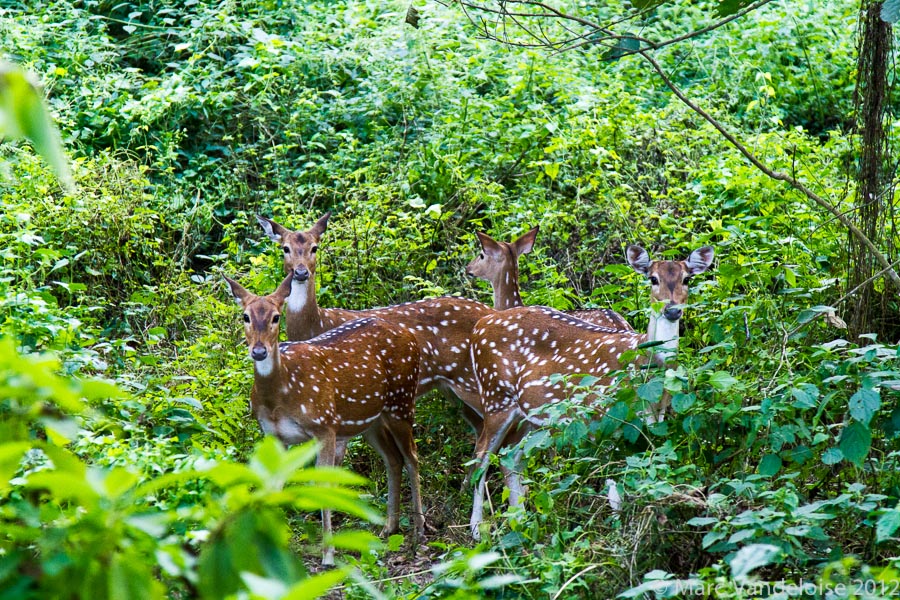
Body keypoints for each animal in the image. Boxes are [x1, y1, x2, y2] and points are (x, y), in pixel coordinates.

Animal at [223, 274, 424, 564]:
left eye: (276, 317)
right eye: (245, 316)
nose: (259, 351)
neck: (280, 395)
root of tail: (412, 337)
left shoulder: (325, 426)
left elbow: (322, 484)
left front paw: (328, 554)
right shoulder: (273, 434)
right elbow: (274, 486)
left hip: (403, 400)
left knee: (412, 457)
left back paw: (419, 529)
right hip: (371, 419)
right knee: (393, 459)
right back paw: (389, 527)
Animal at [256, 213, 496, 434]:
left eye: (315, 247)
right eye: (285, 248)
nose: (301, 272)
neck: (318, 323)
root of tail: (491, 311)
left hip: (471, 377)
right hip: (450, 386)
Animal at [468, 244, 712, 540]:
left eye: (687, 278)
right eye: (652, 279)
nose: (672, 310)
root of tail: (479, 327)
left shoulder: (654, 420)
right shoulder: (605, 413)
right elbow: (615, 488)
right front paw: (620, 535)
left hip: (533, 415)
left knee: (510, 458)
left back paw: (522, 524)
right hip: (495, 396)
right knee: (480, 458)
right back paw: (477, 531)